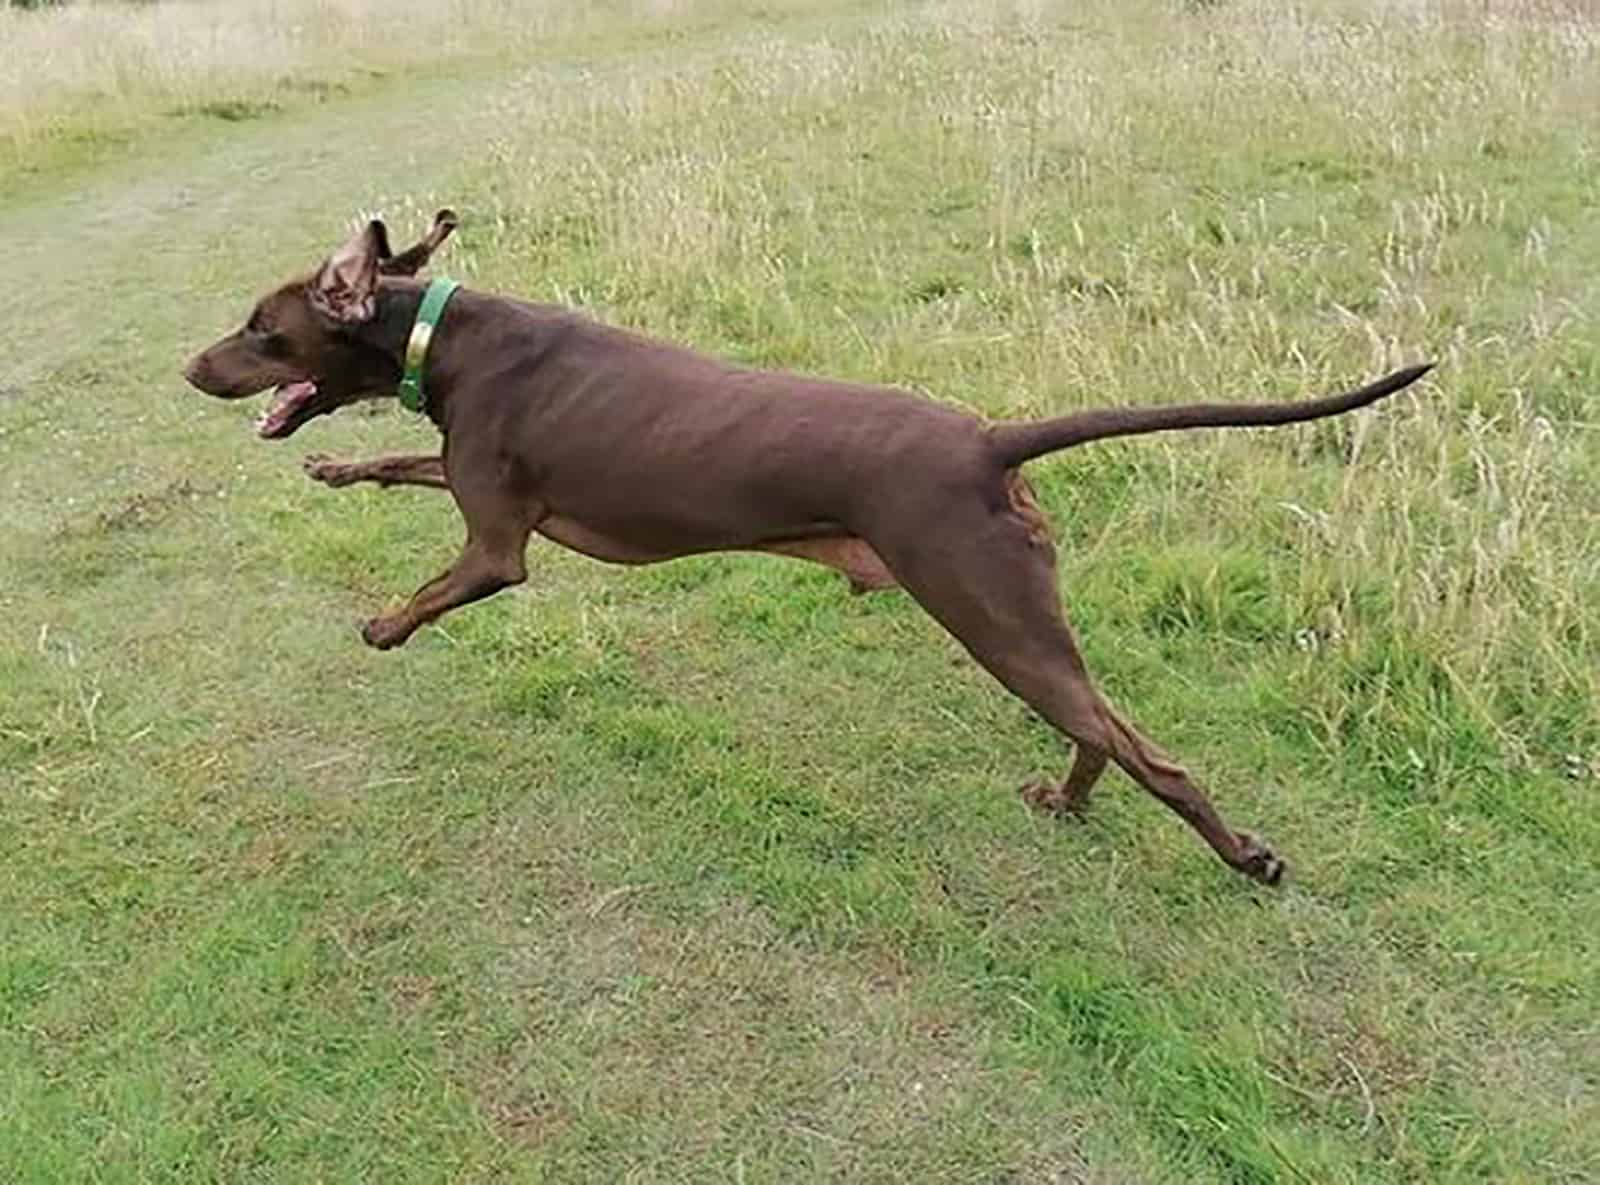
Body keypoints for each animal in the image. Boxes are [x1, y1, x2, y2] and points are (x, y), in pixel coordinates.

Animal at [187, 211, 1440, 876]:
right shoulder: (475, 480)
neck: (438, 335)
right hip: (1020, 621)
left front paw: (383, 624)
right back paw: (1070, 802)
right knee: (1106, 731)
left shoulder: (501, 541)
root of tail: (986, 440)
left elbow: (443, 582)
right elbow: (399, 464)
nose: (191, 367)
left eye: (260, 328)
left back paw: (1243, 858)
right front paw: (335, 470)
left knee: (1152, 756)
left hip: (987, 610)